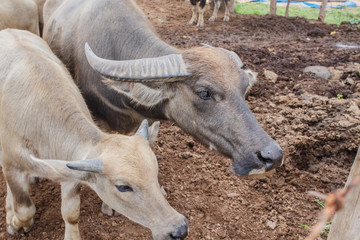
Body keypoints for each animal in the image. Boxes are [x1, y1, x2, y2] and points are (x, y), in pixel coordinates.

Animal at [0, 29, 187, 239]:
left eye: (155, 171)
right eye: (123, 187)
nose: (179, 229)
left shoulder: (71, 172)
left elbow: (71, 212)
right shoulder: (12, 163)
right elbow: (24, 209)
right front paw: (14, 223)